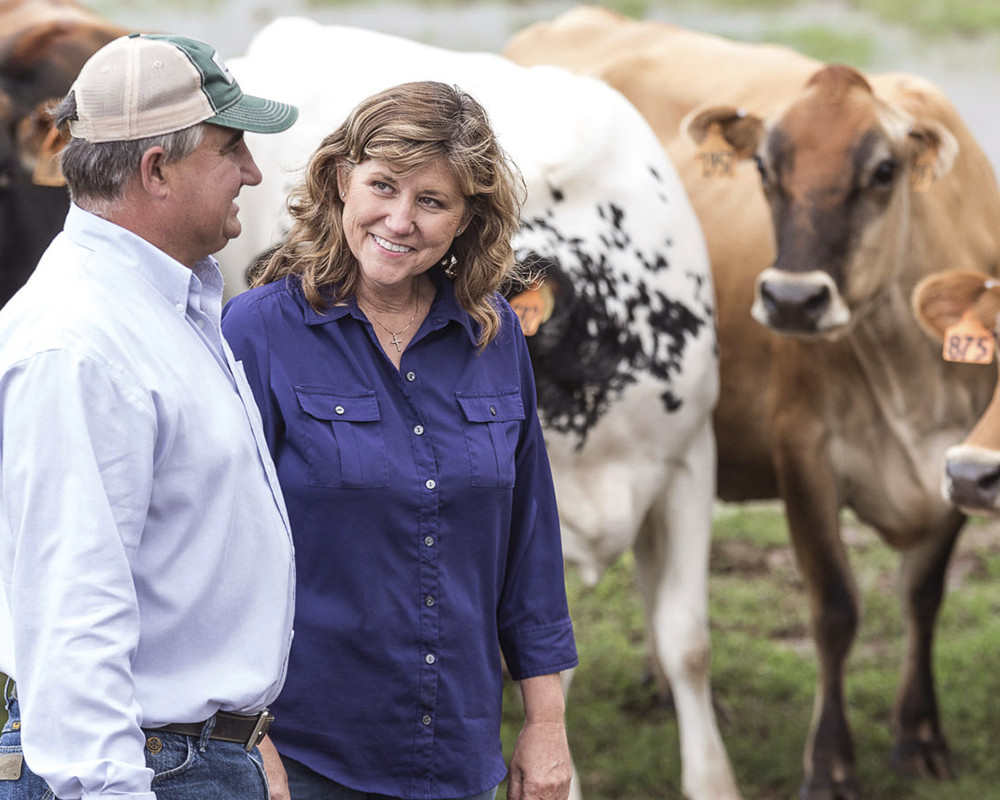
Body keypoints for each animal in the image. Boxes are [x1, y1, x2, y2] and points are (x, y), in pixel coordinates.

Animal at [508, 6, 1000, 800]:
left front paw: (920, 735)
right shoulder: (802, 450)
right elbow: (834, 608)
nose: (794, 299)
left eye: (884, 171)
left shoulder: (962, 458)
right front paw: (830, 764)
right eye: (766, 170)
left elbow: (923, 594)